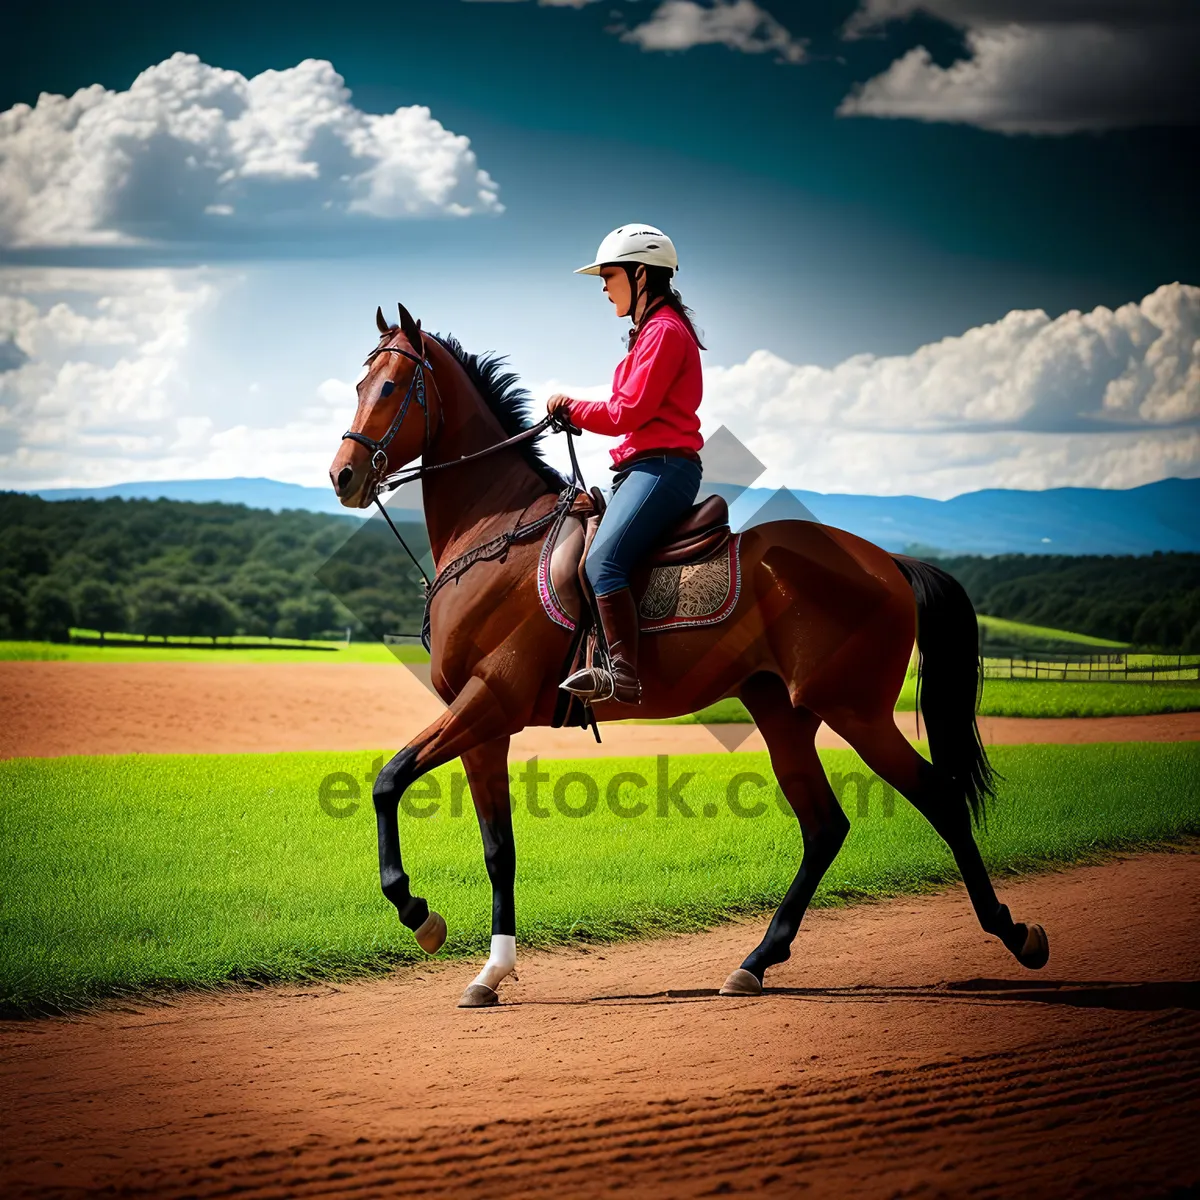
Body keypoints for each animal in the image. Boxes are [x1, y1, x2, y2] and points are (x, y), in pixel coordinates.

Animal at [324, 304, 1046, 1008]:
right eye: (359, 385)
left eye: (390, 387)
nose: (342, 476)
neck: (497, 535)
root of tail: (887, 561)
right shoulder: (484, 724)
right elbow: (498, 846)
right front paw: (490, 973)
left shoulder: (489, 700)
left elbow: (389, 781)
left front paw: (419, 914)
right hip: (782, 711)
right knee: (824, 826)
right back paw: (756, 963)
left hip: (857, 711)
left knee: (938, 798)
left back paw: (1014, 934)